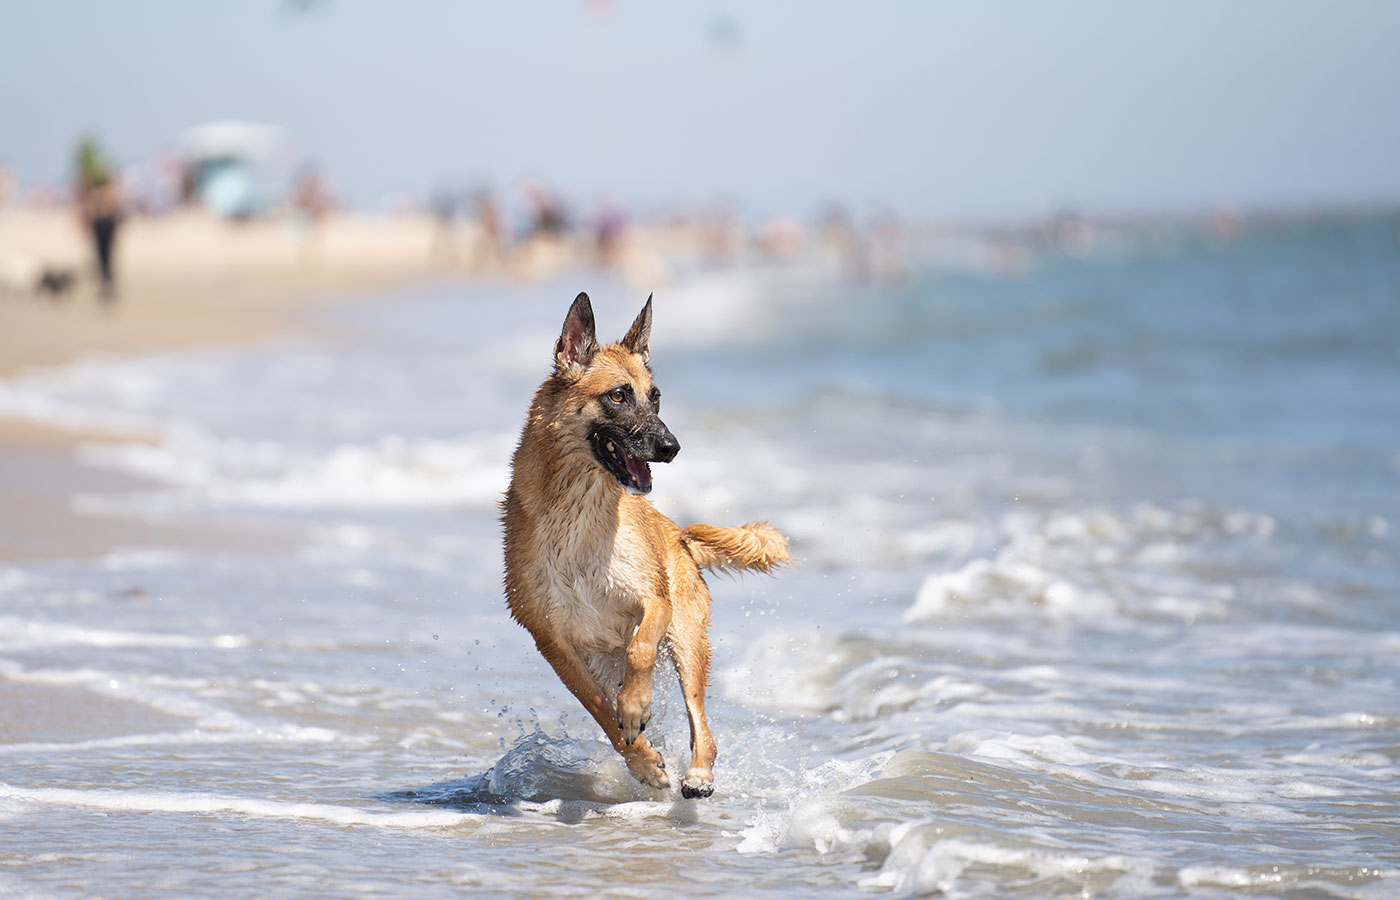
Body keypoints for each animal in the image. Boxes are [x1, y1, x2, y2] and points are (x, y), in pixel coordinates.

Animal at [501, 292, 789, 800]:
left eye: (655, 397)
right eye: (618, 395)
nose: (673, 447)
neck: (577, 512)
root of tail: (679, 536)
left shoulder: (653, 601)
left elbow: (640, 651)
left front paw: (636, 706)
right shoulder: (554, 643)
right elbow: (600, 708)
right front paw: (641, 759)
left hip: (688, 641)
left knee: (702, 726)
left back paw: (698, 773)